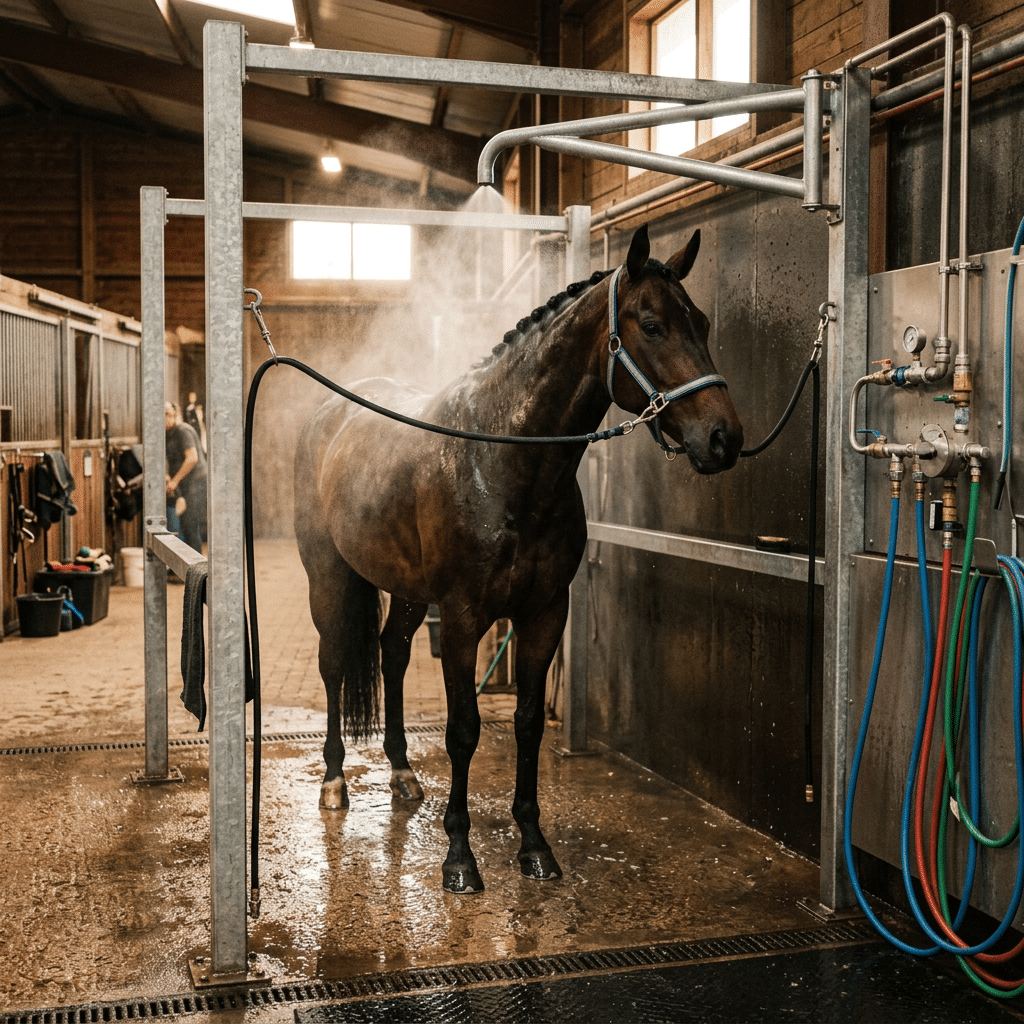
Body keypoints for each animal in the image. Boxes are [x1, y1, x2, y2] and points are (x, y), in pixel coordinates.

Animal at [293, 223, 743, 894]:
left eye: (705, 323)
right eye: (651, 324)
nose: (723, 438)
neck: (506, 461)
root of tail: (330, 412)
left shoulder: (544, 613)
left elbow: (527, 723)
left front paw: (534, 846)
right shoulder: (461, 619)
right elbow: (463, 730)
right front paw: (459, 858)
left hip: (409, 591)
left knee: (392, 654)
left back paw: (401, 774)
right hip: (328, 576)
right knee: (334, 664)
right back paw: (334, 781)